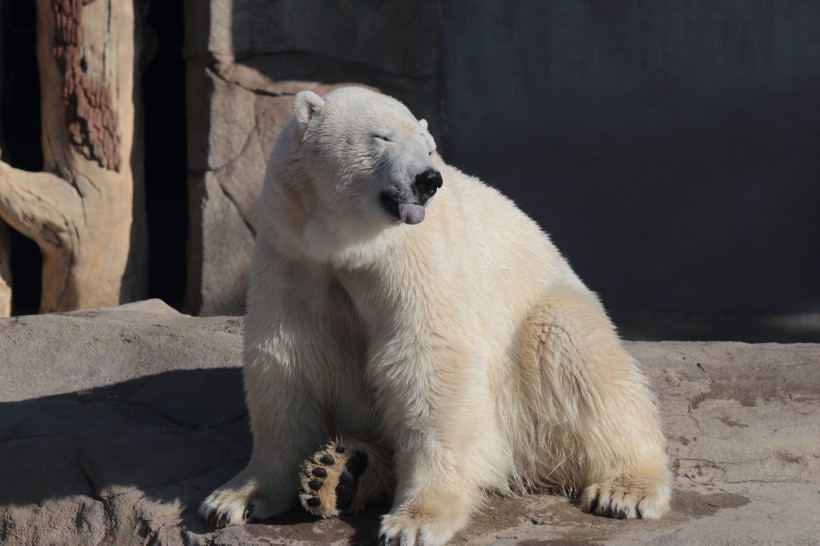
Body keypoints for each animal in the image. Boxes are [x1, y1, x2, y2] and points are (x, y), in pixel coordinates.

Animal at [202, 87, 668, 540]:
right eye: (381, 137)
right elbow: (286, 359)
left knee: (576, 355)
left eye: (428, 147)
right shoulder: (293, 255)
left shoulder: (416, 258)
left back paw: (624, 489)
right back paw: (338, 471)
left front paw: (416, 520)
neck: (350, 247)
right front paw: (234, 498)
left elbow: (428, 360)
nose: (427, 179)